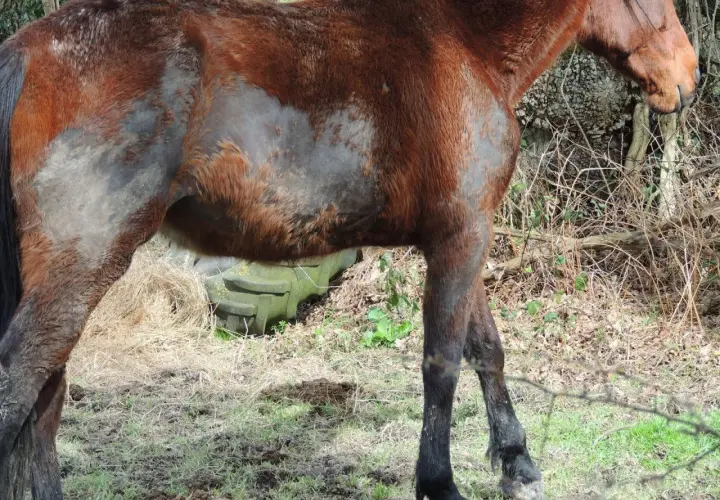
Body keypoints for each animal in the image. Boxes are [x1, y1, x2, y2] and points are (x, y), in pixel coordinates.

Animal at [0, 0, 698, 498]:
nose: (689, 75)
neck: (468, 50)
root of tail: (26, 51)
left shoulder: (462, 236)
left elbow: (486, 350)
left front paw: (517, 464)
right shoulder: (461, 238)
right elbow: (443, 363)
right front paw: (440, 483)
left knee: (44, 407)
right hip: (82, 266)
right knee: (21, 389)